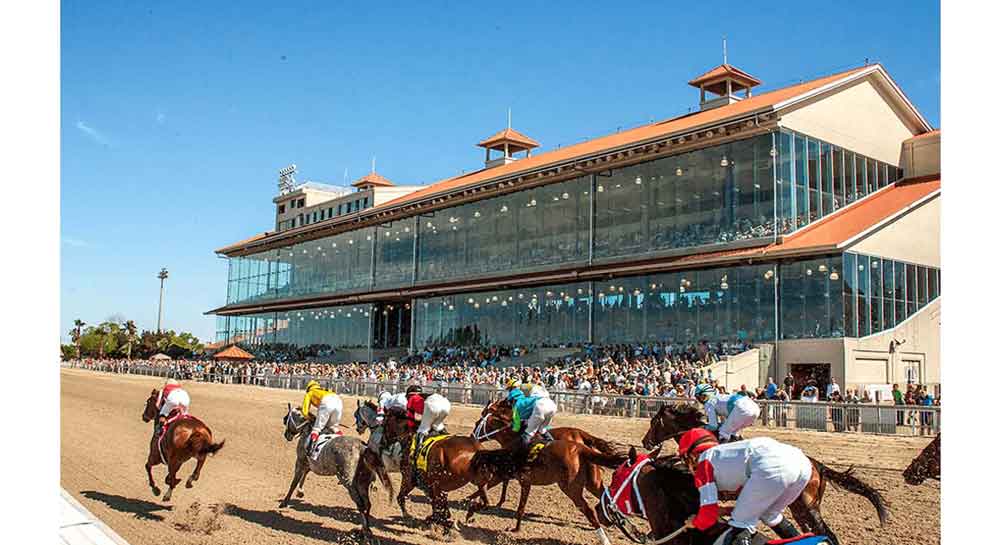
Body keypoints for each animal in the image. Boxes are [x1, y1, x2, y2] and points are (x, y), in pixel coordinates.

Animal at [284, 402, 392, 536]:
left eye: (287, 418)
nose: (286, 435)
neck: (308, 431)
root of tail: (362, 447)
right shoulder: (308, 463)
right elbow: (304, 475)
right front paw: (300, 492)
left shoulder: (300, 461)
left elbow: (294, 482)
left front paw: (284, 502)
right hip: (363, 482)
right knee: (367, 504)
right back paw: (364, 531)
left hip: (350, 483)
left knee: (360, 504)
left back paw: (364, 531)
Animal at [468, 396, 624, 544]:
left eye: (479, 421)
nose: (471, 437)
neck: (514, 438)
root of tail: (581, 447)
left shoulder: (520, 479)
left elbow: (505, 495)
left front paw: (473, 501)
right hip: (593, 483)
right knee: (607, 498)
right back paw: (615, 522)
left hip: (571, 488)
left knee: (589, 510)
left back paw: (605, 538)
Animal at [640, 402, 884, 540]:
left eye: (653, 423)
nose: (645, 441)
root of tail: (818, 466)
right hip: (799, 508)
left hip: (808, 507)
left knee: (827, 533)